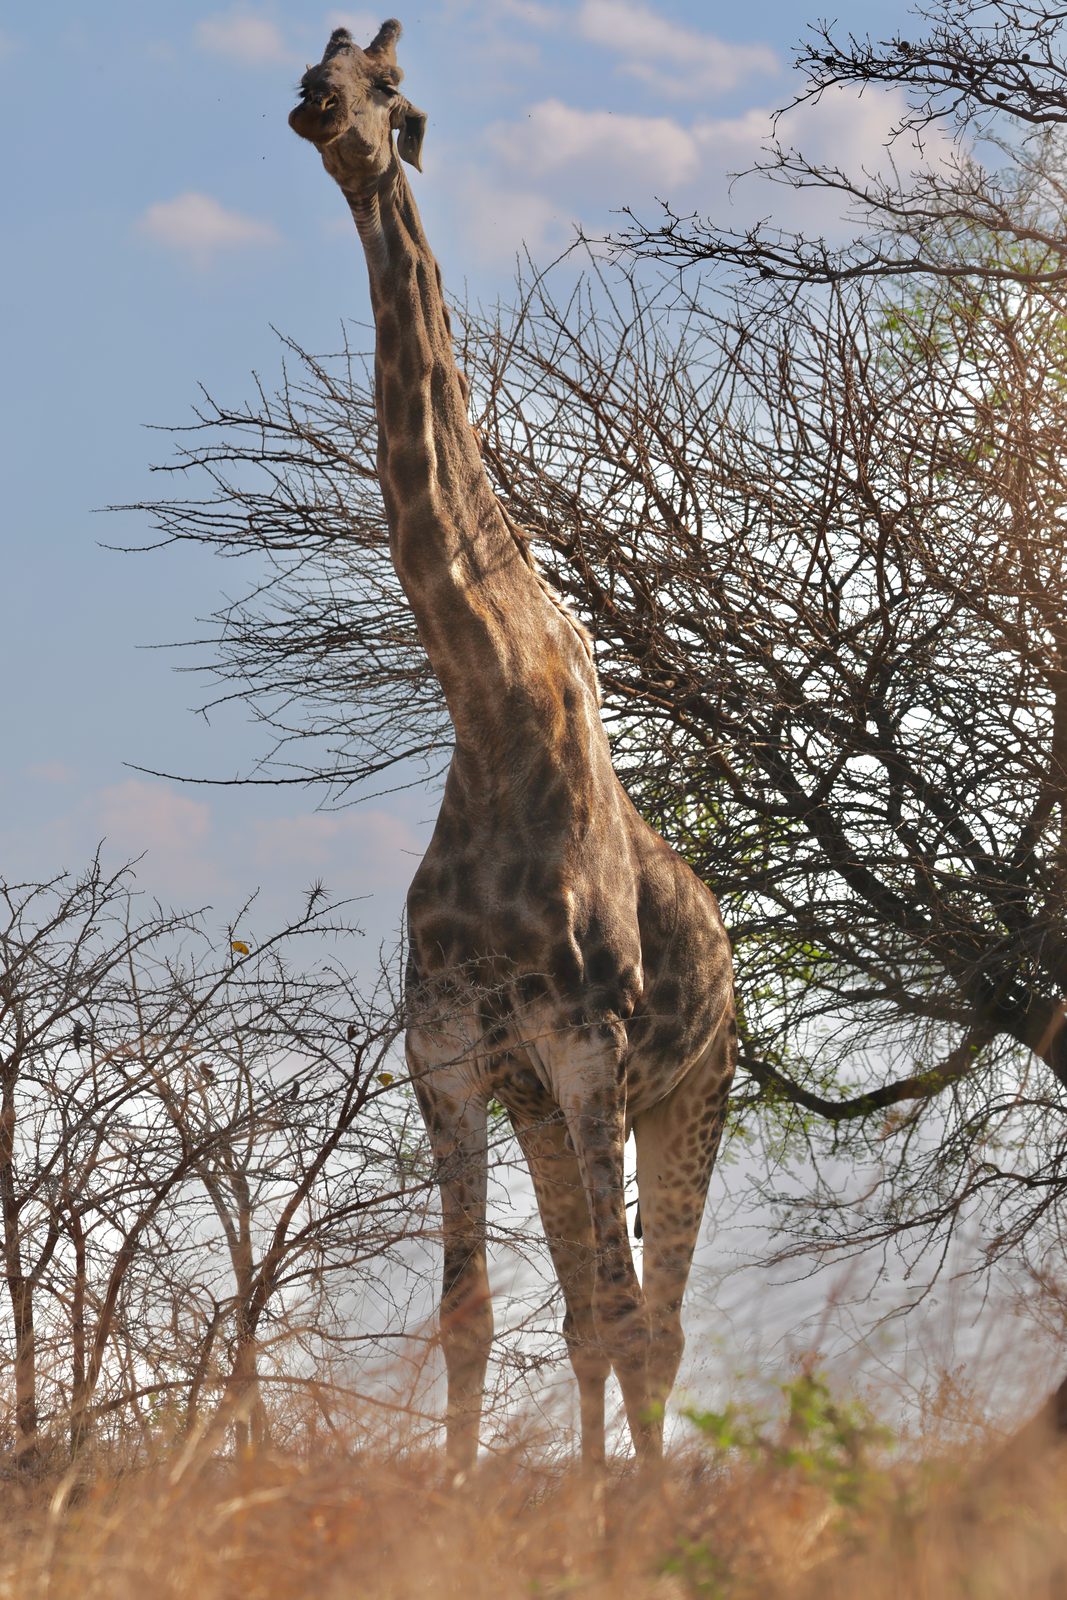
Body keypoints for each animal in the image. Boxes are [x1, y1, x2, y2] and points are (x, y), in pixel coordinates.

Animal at [289, 20, 736, 1472]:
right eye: (320, 63)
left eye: (395, 93)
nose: (325, 115)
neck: (485, 707)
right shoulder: (450, 1050)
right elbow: (471, 1318)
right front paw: (459, 1501)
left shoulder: (590, 1047)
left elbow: (619, 1319)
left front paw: (619, 1516)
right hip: (542, 1100)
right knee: (593, 1309)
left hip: (688, 1091)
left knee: (651, 1320)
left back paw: (635, 1492)